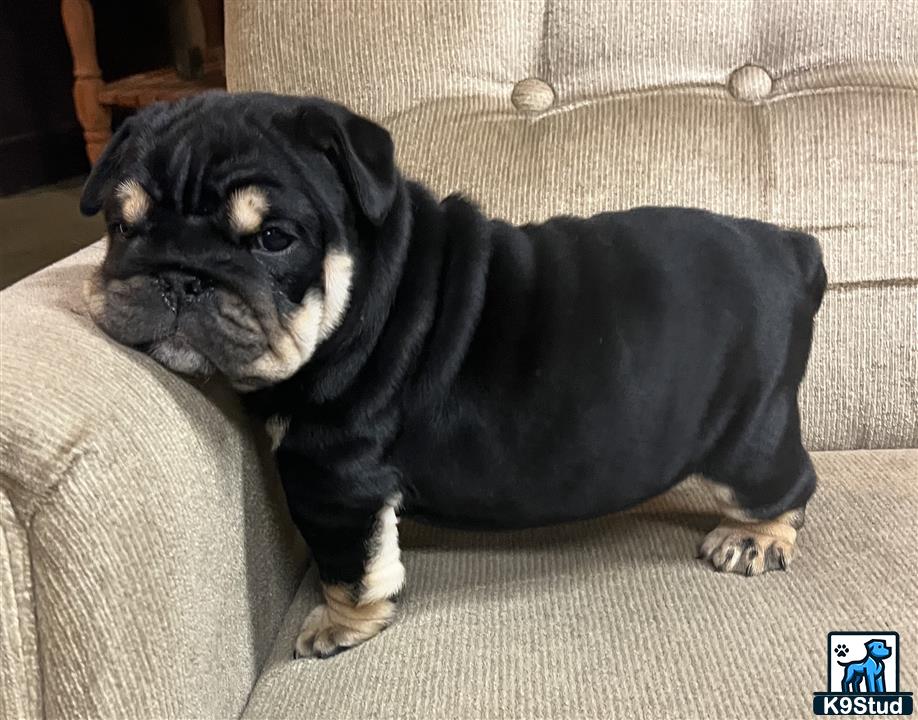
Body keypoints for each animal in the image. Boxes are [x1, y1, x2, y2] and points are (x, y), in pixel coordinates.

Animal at [79, 90, 832, 660]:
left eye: (273, 239)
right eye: (123, 226)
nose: (180, 277)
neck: (366, 291)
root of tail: (794, 249)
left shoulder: (332, 480)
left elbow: (349, 569)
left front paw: (338, 626)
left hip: (747, 434)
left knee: (785, 484)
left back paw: (755, 537)